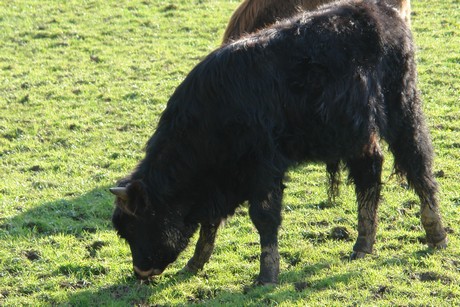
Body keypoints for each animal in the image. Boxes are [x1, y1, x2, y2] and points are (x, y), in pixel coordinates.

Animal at [109, 0, 448, 286]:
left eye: (136, 225)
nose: (141, 272)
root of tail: (381, 11)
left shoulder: (263, 170)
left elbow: (264, 219)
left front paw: (267, 275)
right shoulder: (221, 183)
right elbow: (210, 222)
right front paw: (194, 264)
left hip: (403, 109)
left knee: (419, 166)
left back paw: (436, 235)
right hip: (358, 134)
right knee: (370, 173)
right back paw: (363, 244)